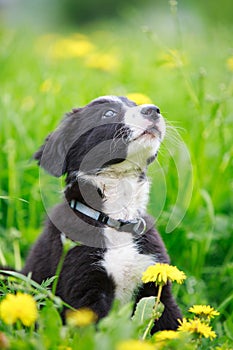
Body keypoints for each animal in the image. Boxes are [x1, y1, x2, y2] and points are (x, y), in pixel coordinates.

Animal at [21, 95, 182, 330]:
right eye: (108, 113)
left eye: (135, 104)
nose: (153, 110)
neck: (116, 220)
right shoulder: (87, 292)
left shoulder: (156, 286)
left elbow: (173, 326)